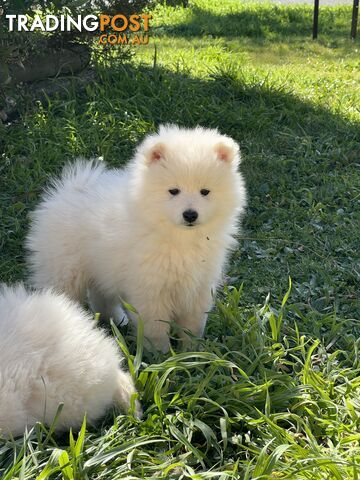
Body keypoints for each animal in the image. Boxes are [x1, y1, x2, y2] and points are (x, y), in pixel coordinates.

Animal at [26, 125, 248, 352]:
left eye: (205, 191)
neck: (179, 239)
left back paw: (117, 320)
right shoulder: (150, 289)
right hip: (64, 268)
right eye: (173, 191)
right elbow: (155, 327)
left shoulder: (199, 286)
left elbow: (193, 325)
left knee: (101, 297)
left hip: (102, 268)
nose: (190, 214)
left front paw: (192, 352)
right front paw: (162, 354)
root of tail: (70, 189)